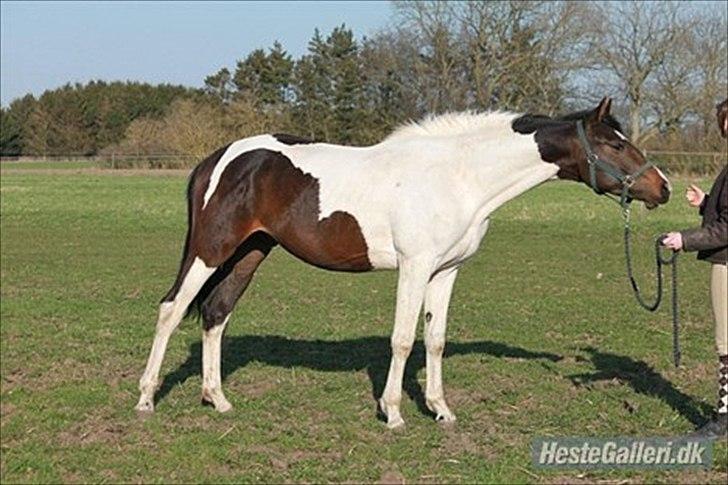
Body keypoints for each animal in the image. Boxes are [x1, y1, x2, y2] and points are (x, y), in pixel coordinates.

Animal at [136, 96, 672, 426]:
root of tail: (218, 158)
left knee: (215, 314)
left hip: (249, 252)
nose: (663, 187)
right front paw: (392, 412)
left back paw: (218, 399)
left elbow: (434, 340)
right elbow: (401, 340)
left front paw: (440, 409)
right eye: (615, 143)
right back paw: (145, 398)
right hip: (210, 250)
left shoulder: (446, 271)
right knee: (170, 310)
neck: (459, 176)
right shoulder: (415, 267)